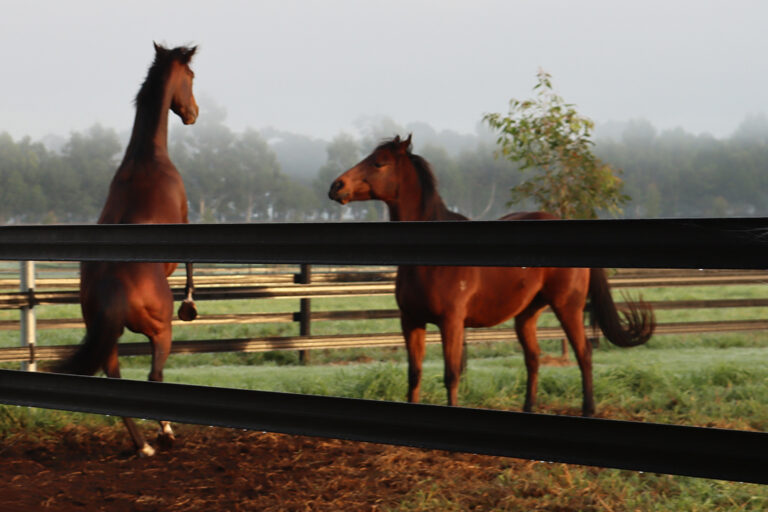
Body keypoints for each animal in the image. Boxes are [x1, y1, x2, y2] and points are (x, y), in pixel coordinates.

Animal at [54, 43, 200, 456]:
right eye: (191, 77)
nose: (194, 113)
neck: (146, 158)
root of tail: (114, 285)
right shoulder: (185, 221)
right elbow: (190, 263)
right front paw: (190, 305)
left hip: (107, 337)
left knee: (115, 378)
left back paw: (143, 445)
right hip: (159, 331)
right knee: (154, 375)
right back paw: (164, 432)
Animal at [328, 135, 655, 416]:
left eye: (379, 163)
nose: (336, 186)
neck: (430, 256)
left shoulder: (452, 323)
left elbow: (451, 374)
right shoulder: (411, 322)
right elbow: (414, 375)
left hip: (568, 307)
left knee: (583, 353)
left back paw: (588, 409)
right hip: (527, 314)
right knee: (533, 358)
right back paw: (529, 408)